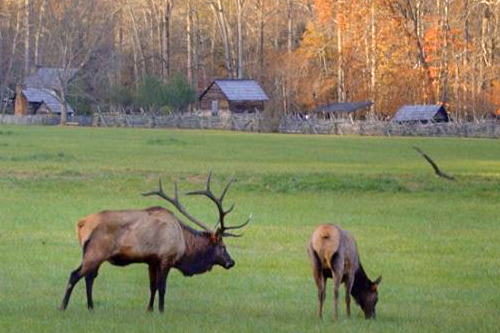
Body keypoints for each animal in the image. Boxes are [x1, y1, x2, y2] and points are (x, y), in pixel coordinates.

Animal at [60, 171, 252, 312]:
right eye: (222, 246)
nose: (231, 262)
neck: (184, 243)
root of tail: (82, 223)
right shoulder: (166, 259)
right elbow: (162, 287)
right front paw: (161, 310)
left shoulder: (151, 261)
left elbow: (152, 286)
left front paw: (149, 309)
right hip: (95, 252)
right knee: (75, 274)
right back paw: (63, 306)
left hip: (94, 255)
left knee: (89, 277)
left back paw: (91, 307)